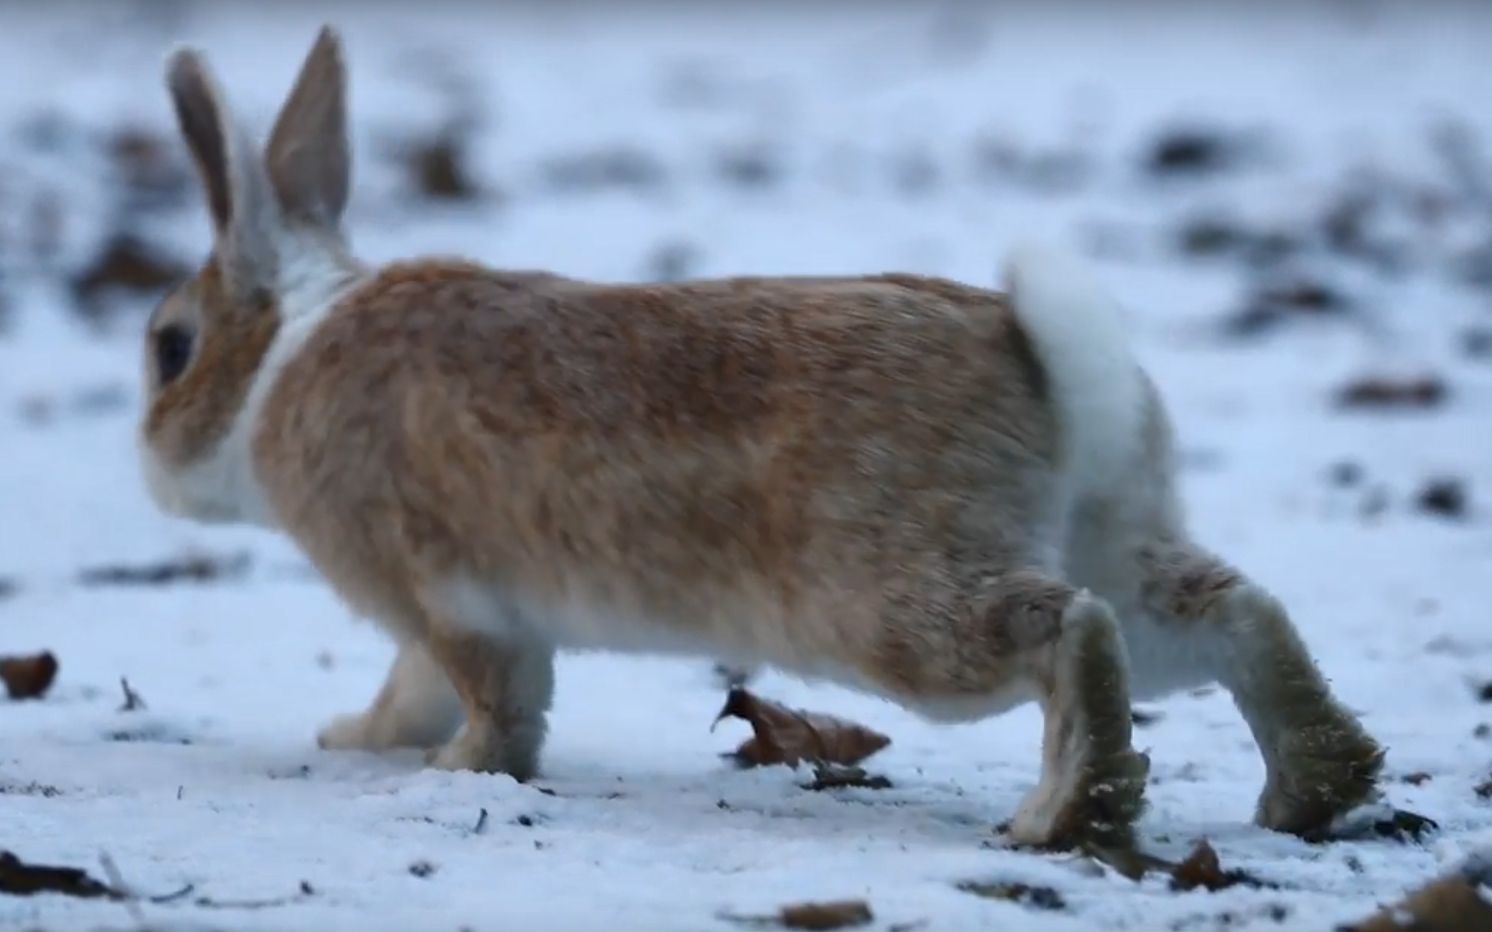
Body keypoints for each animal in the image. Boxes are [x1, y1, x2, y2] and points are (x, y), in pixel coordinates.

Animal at [140, 25, 1384, 847]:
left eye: (169, 346)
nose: (149, 462)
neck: (286, 348)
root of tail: (1039, 356)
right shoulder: (449, 611)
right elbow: (427, 687)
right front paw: (362, 736)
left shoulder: (442, 591)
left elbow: (485, 698)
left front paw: (442, 769)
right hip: (1111, 533)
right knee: (1222, 611)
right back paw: (1310, 790)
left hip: (891, 605)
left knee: (1063, 628)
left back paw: (1055, 814)